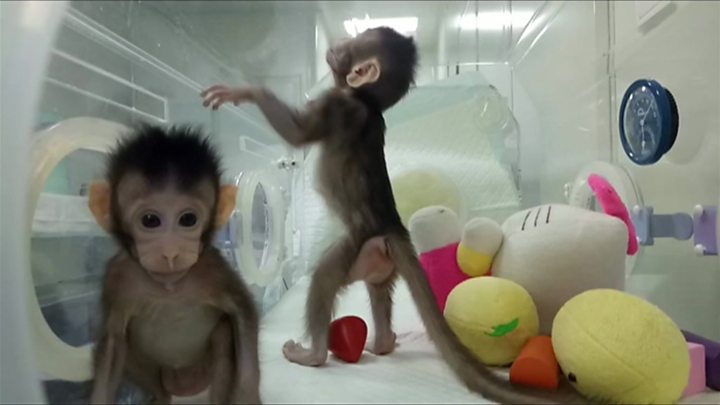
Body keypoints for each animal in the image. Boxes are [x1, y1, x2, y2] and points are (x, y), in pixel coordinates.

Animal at [87, 125, 261, 405]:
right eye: (150, 220)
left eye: (188, 219)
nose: (170, 252)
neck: (168, 286)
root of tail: (186, 387)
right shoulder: (118, 277)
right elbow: (114, 341)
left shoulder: (213, 269)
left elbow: (243, 313)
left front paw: (247, 395)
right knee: (130, 349)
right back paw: (159, 398)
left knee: (223, 335)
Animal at [201, 27, 585, 404]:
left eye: (353, 44)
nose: (337, 43)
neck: (366, 102)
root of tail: (393, 227)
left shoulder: (337, 104)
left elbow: (297, 134)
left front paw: (247, 90)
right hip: (379, 259)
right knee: (378, 291)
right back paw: (384, 342)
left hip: (354, 247)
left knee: (324, 277)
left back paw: (314, 353)